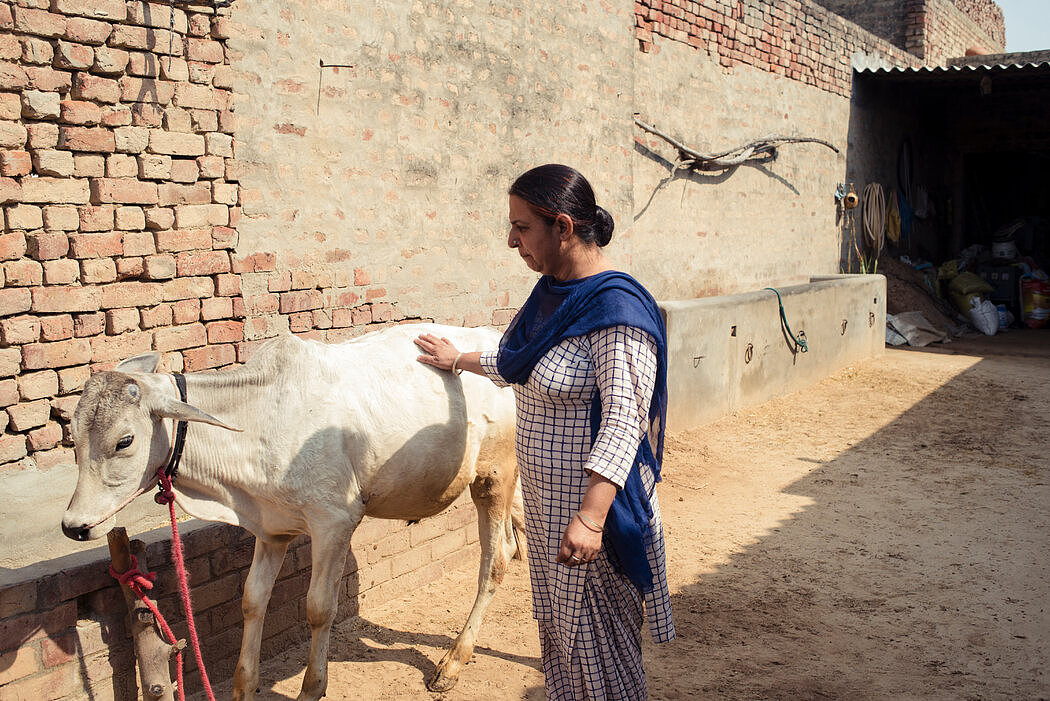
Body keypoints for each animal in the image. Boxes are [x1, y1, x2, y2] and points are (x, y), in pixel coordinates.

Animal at [61, 325, 520, 701]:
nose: (73, 526)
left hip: (493, 476)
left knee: (495, 560)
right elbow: (252, 601)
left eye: (124, 441)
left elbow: (318, 607)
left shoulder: (335, 522)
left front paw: (312, 687)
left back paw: (453, 662)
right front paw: (244, 688)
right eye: (74, 438)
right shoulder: (270, 529)